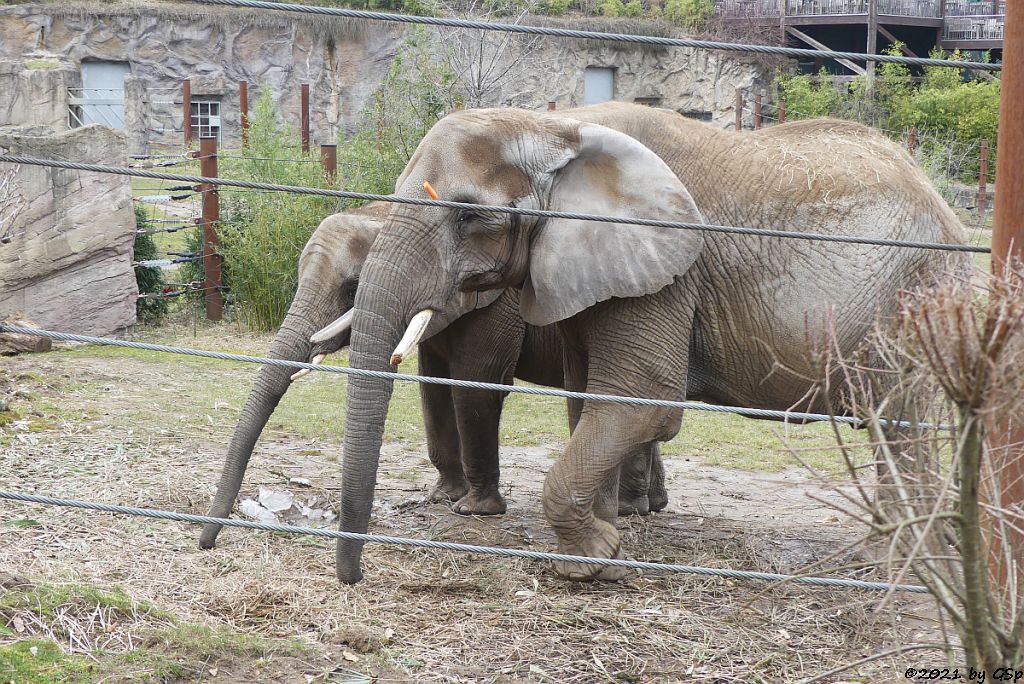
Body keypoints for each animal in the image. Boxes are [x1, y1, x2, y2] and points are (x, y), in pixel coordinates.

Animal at [199, 201, 667, 548]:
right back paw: (643, 507)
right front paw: (442, 497)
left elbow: (475, 384)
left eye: (351, 289)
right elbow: (432, 384)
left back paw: (629, 510)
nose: (208, 542)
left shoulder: (497, 303)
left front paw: (472, 510)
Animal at [335, 100, 966, 581]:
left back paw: (898, 563)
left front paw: (590, 562)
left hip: (916, 298)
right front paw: (604, 545)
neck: (553, 126)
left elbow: (643, 396)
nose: (354, 576)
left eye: (467, 216)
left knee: (900, 421)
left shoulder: (666, 268)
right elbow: (590, 396)